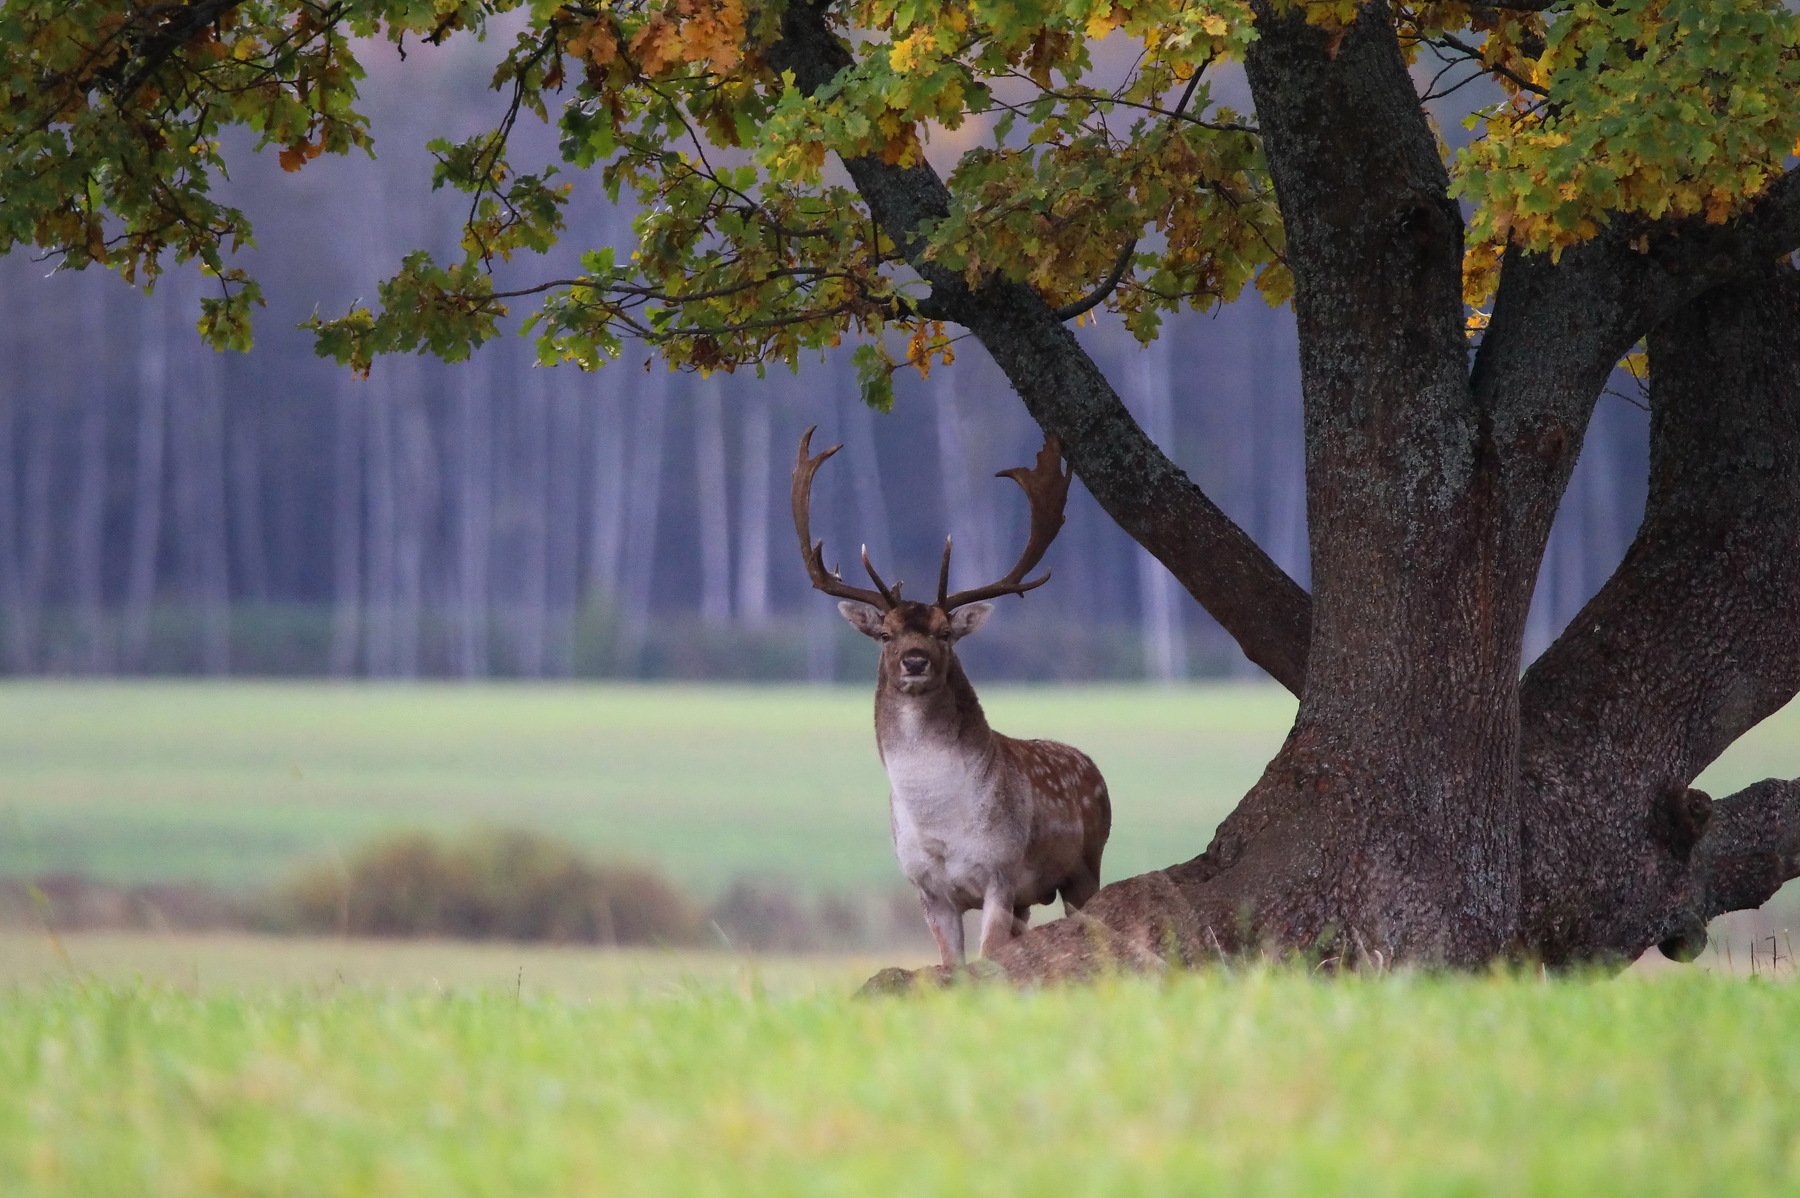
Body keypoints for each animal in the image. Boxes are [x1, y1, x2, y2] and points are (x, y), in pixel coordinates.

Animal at [792, 424, 1108, 964]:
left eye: (944, 633)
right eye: (886, 634)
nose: (915, 661)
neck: (940, 823)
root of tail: (1093, 766)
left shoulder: (1001, 872)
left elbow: (988, 959)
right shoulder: (927, 888)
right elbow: (951, 965)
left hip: (1087, 863)